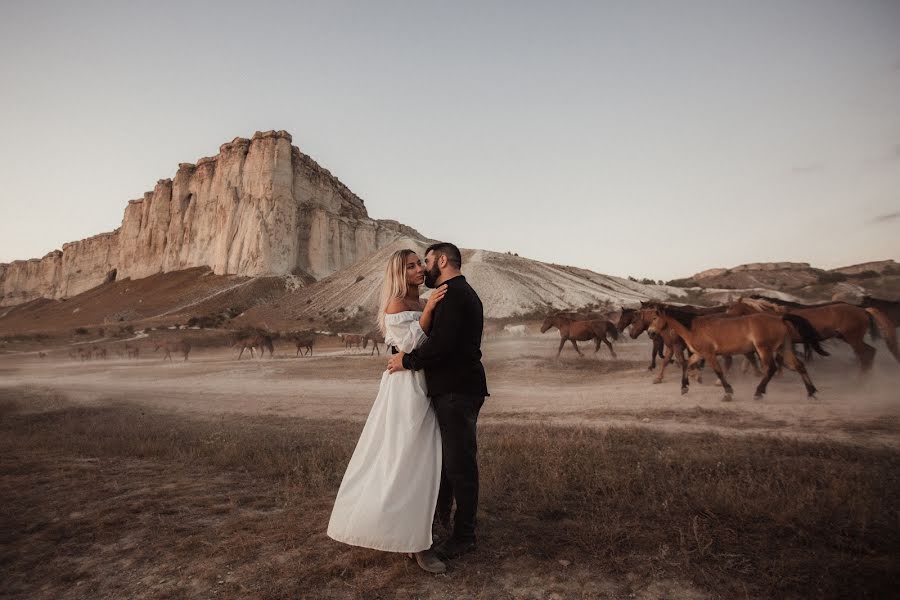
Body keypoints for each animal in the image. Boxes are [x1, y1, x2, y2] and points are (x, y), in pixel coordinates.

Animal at [648, 308, 824, 400]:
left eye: (655, 317)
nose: (650, 333)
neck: (693, 328)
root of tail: (780, 318)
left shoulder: (709, 354)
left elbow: (719, 371)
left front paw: (728, 392)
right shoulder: (699, 354)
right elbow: (686, 365)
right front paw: (684, 388)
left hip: (764, 349)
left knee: (771, 369)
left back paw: (758, 392)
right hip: (783, 348)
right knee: (799, 366)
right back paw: (811, 391)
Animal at [728, 296, 896, 370]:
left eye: (733, 309)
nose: (727, 320)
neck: (771, 317)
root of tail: (862, 309)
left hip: (853, 338)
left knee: (866, 354)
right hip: (849, 337)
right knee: (870, 352)